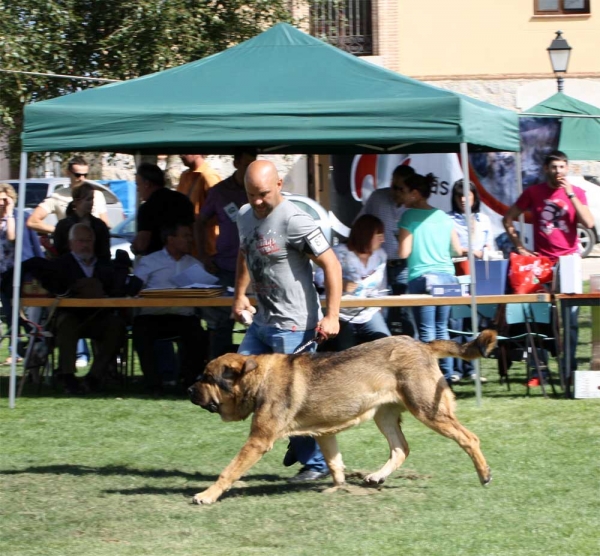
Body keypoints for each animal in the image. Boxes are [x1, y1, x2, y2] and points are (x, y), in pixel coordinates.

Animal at [189, 332, 496, 506]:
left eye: (207, 377)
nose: (189, 390)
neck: (258, 379)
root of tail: (423, 345)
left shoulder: (258, 440)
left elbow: (229, 470)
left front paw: (207, 495)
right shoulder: (325, 433)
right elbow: (335, 464)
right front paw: (338, 489)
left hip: (427, 410)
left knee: (470, 438)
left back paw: (485, 475)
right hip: (385, 415)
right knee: (401, 449)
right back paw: (376, 477)